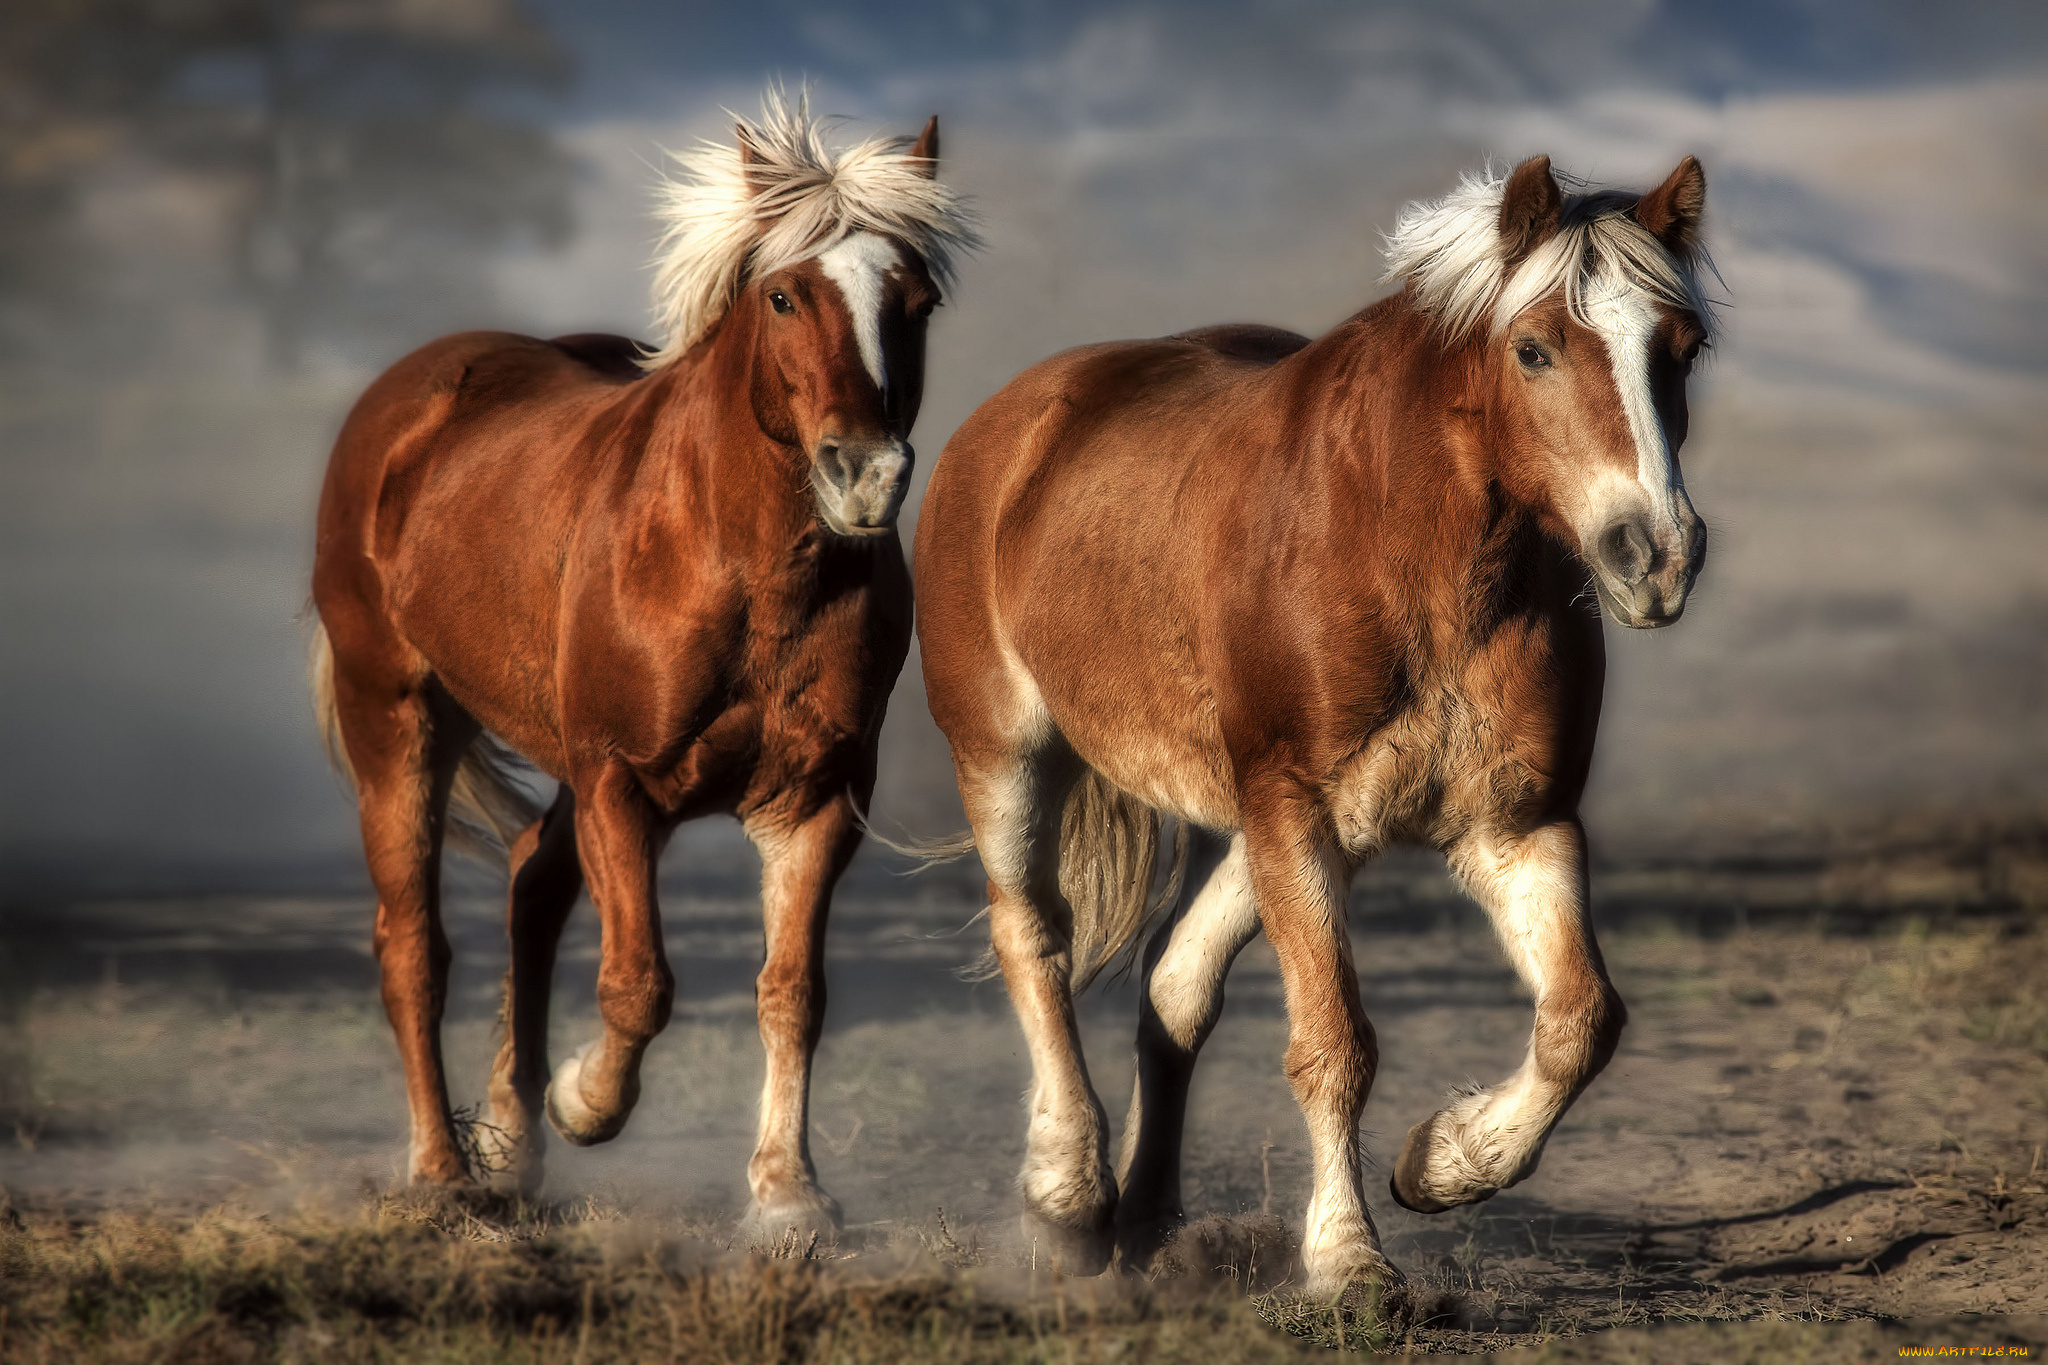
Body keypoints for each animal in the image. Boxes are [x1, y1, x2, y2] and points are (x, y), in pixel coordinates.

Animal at [305, 96, 974, 1244]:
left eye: (917, 302)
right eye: (784, 294)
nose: (865, 476)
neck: (734, 565)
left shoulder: (816, 798)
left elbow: (792, 992)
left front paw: (787, 1195)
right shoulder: (620, 781)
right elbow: (637, 986)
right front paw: (585, 1100)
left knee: (530, 882)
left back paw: (511, 1140)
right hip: (396, 715)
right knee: (413, 945)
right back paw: (444, 1170)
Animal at [913, 157, 1712, 1293]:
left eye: (1684, 350)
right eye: (1533, 347)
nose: (1654, 555)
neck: (1407, 554)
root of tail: (1016, 419)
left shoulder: (1512, 824)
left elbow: (1579, 1022)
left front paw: (1447, 1161)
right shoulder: (1294, 808)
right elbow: (1334, 1046)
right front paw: (1348, 1259)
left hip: (1251, 825)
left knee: (1173, 987)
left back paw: (1145, 1216)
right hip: (1008, 755)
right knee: (1034, 938)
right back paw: (1067, 1186)